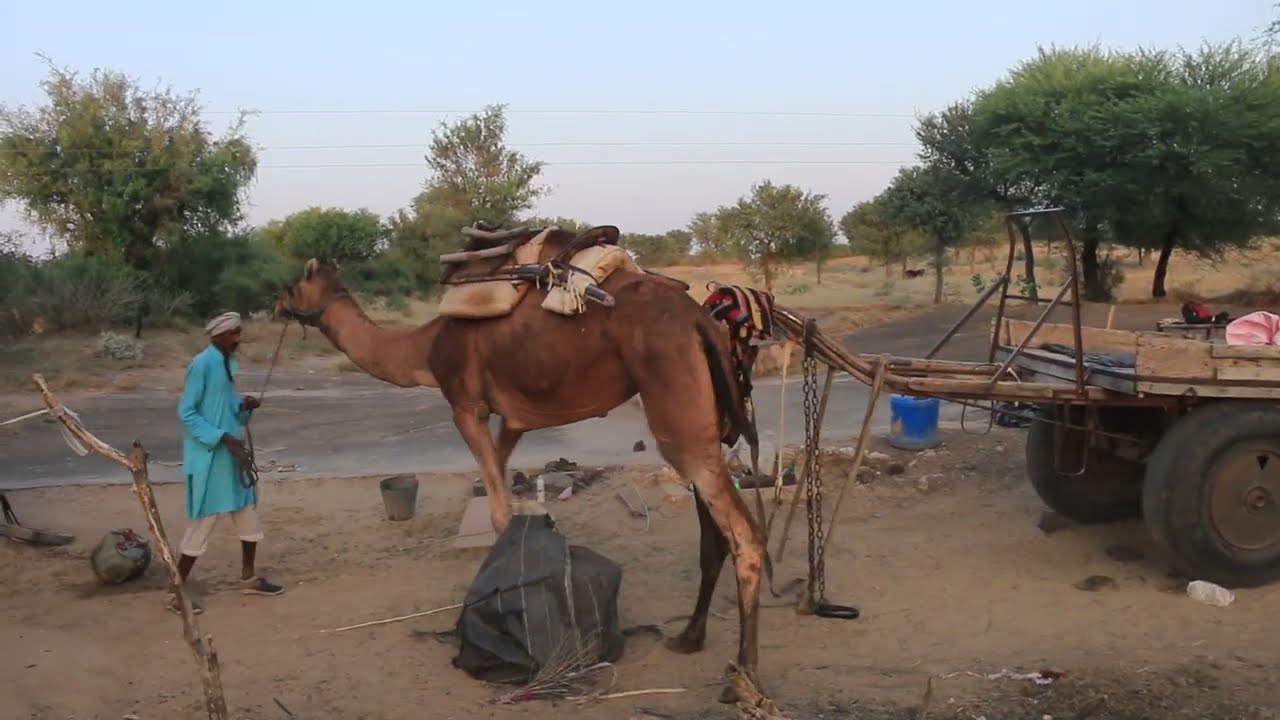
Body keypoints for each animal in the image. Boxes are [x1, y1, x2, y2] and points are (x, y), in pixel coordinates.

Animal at [273, 224, 770, 698]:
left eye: (296, 282)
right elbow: (501, 492)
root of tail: (699, 321)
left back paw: (744, 675)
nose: (274, 301)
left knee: (744, 534)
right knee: (714, 530)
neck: (424, 349)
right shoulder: (513, 420)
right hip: (706, 413)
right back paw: (688, 637)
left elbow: (497, 508)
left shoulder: (465, 405)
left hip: (673, 399)